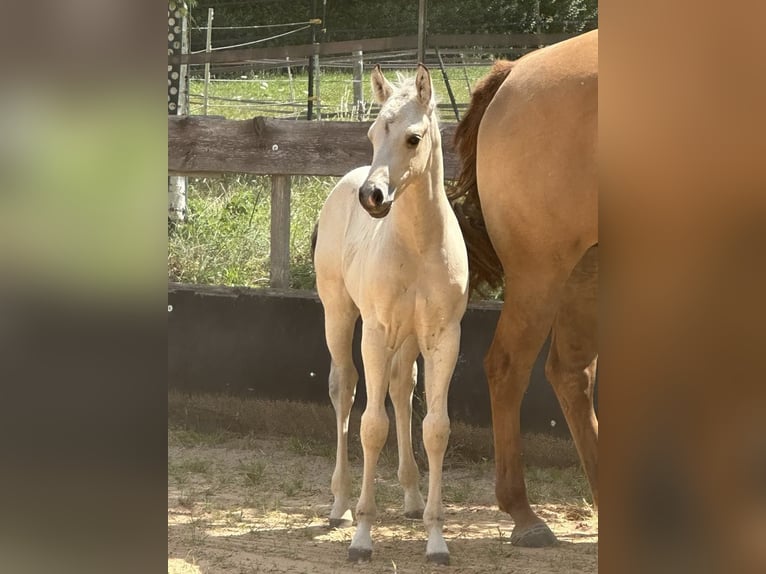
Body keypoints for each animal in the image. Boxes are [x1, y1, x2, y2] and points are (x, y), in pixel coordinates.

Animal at [313, 64, 469, 564]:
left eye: (413, 138)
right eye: (371, 132)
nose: (373, 196)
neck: (417, 247)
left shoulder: (442, 337)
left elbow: (435, 427)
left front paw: (436, 537)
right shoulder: (376, 333)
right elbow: (371, 425)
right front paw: (363, 535)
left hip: (408, 339)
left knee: (402, 389)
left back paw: (412, 495)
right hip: (340, 316)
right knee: (344, 390)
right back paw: (340, 503)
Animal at [448, 29, 598, 547]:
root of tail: (515, 73)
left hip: (585, 273)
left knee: (571, 375)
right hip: (541, 274)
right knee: (509, 367)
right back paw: (524, 514)